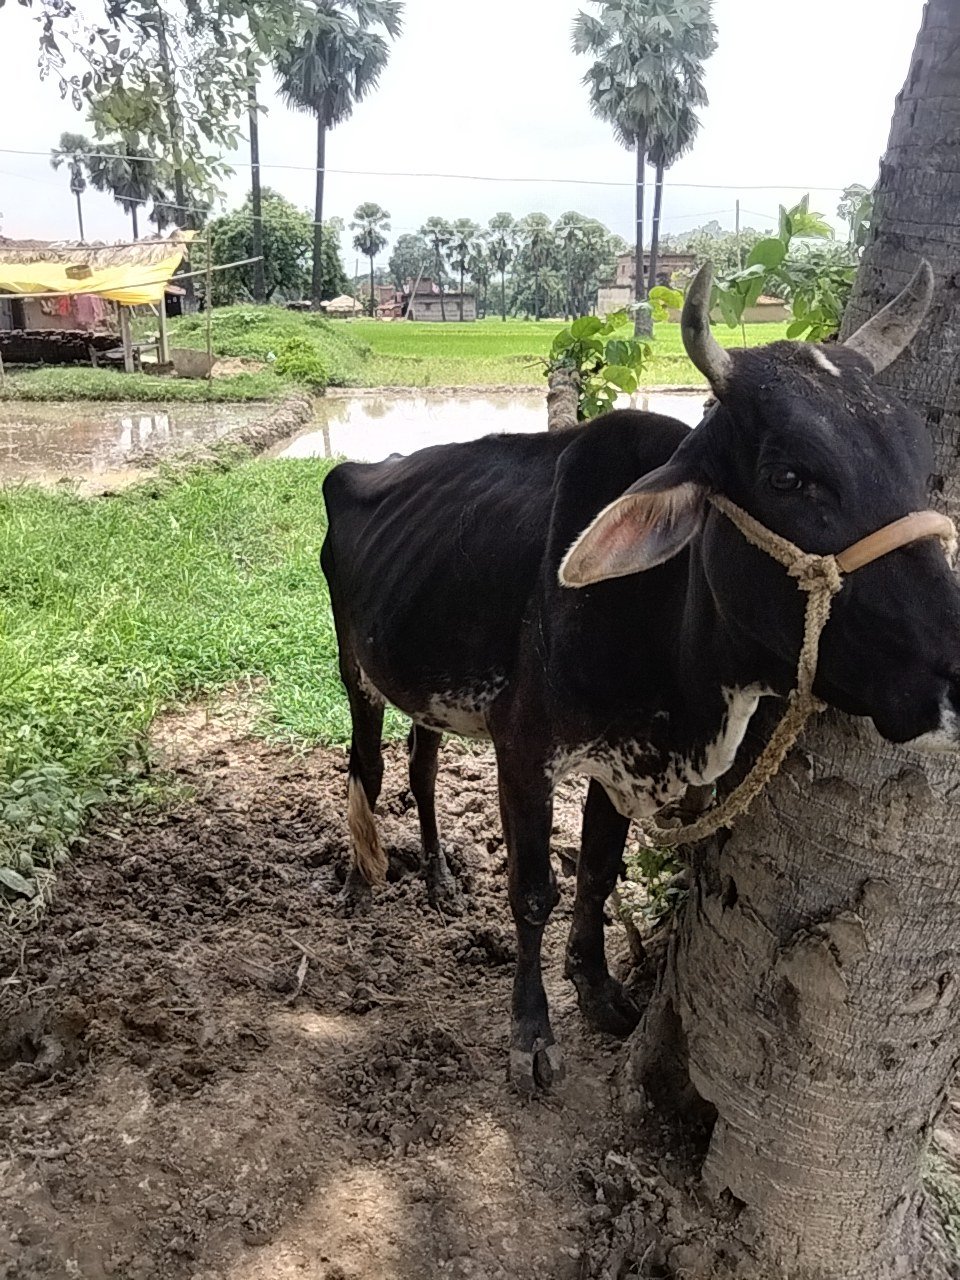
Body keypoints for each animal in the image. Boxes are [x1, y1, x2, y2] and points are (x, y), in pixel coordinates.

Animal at [320, 263, 960, 1092]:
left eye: (916, 462)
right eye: (789, 476)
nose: (954, 676)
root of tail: (370, 465)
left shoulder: (616, 760)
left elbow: (598, 869)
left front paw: (597, 990)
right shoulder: (524, 750)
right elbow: (534, 891)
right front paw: (532, 1032)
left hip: (428, 686)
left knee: (422, 765)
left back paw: (438, 878)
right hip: (354, 668)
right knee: (364, 764)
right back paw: (358, 882)